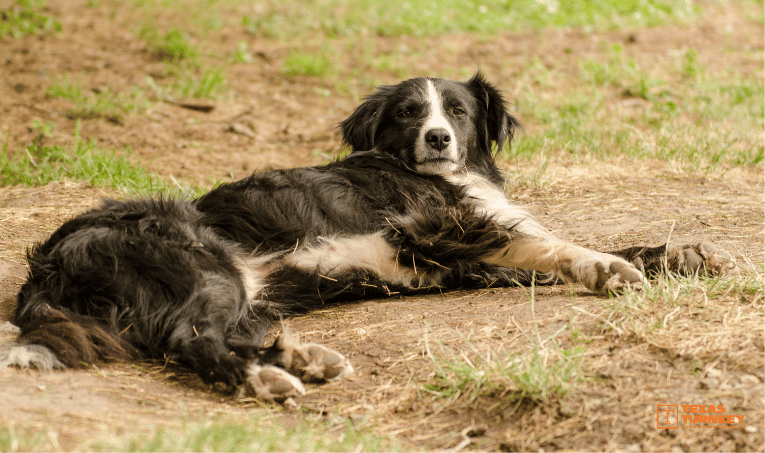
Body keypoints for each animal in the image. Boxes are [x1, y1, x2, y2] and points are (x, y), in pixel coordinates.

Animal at [0, 74, 736, 402]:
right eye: (410, 113)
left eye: (458, 111)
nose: (437, 138)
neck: (443, 174)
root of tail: (48, 265)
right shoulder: (442, 231)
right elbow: (555, 242)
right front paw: (604, 268)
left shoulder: (477, 253)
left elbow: (577, 239)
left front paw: (682, 255)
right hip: (203, 266)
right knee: (192, 341)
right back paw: (269, 378)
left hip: (244, 286)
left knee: (220, 333)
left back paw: (302, 357)